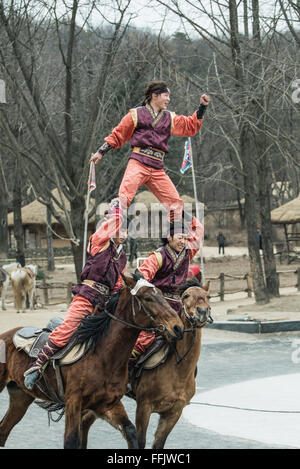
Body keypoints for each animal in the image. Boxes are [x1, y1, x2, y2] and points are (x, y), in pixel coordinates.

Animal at [0, 276, 183, 448]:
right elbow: (71, 440)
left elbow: (131, 432)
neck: (103, 358)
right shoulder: (74, 401)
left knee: (4, 430)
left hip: (21, 397)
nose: (177, 327)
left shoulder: (107, 405)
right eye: (147, 298)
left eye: (162, 295)